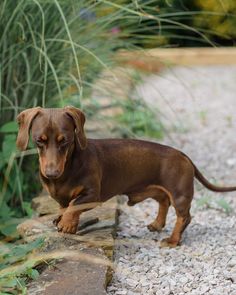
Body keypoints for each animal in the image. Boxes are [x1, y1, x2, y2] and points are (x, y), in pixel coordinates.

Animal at [16, 106, 236, 247]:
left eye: (65, 141)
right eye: (39, 140)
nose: (51, 173)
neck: (69, 166)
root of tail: (183, 155)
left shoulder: (92, 195)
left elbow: (73, 206)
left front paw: (67, 224)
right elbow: (65, 206)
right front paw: (61, 219)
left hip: (180, 194)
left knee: (184, 217)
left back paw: (173, 240)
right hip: (156, 189)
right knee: (163, 202)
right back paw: (157, 225)